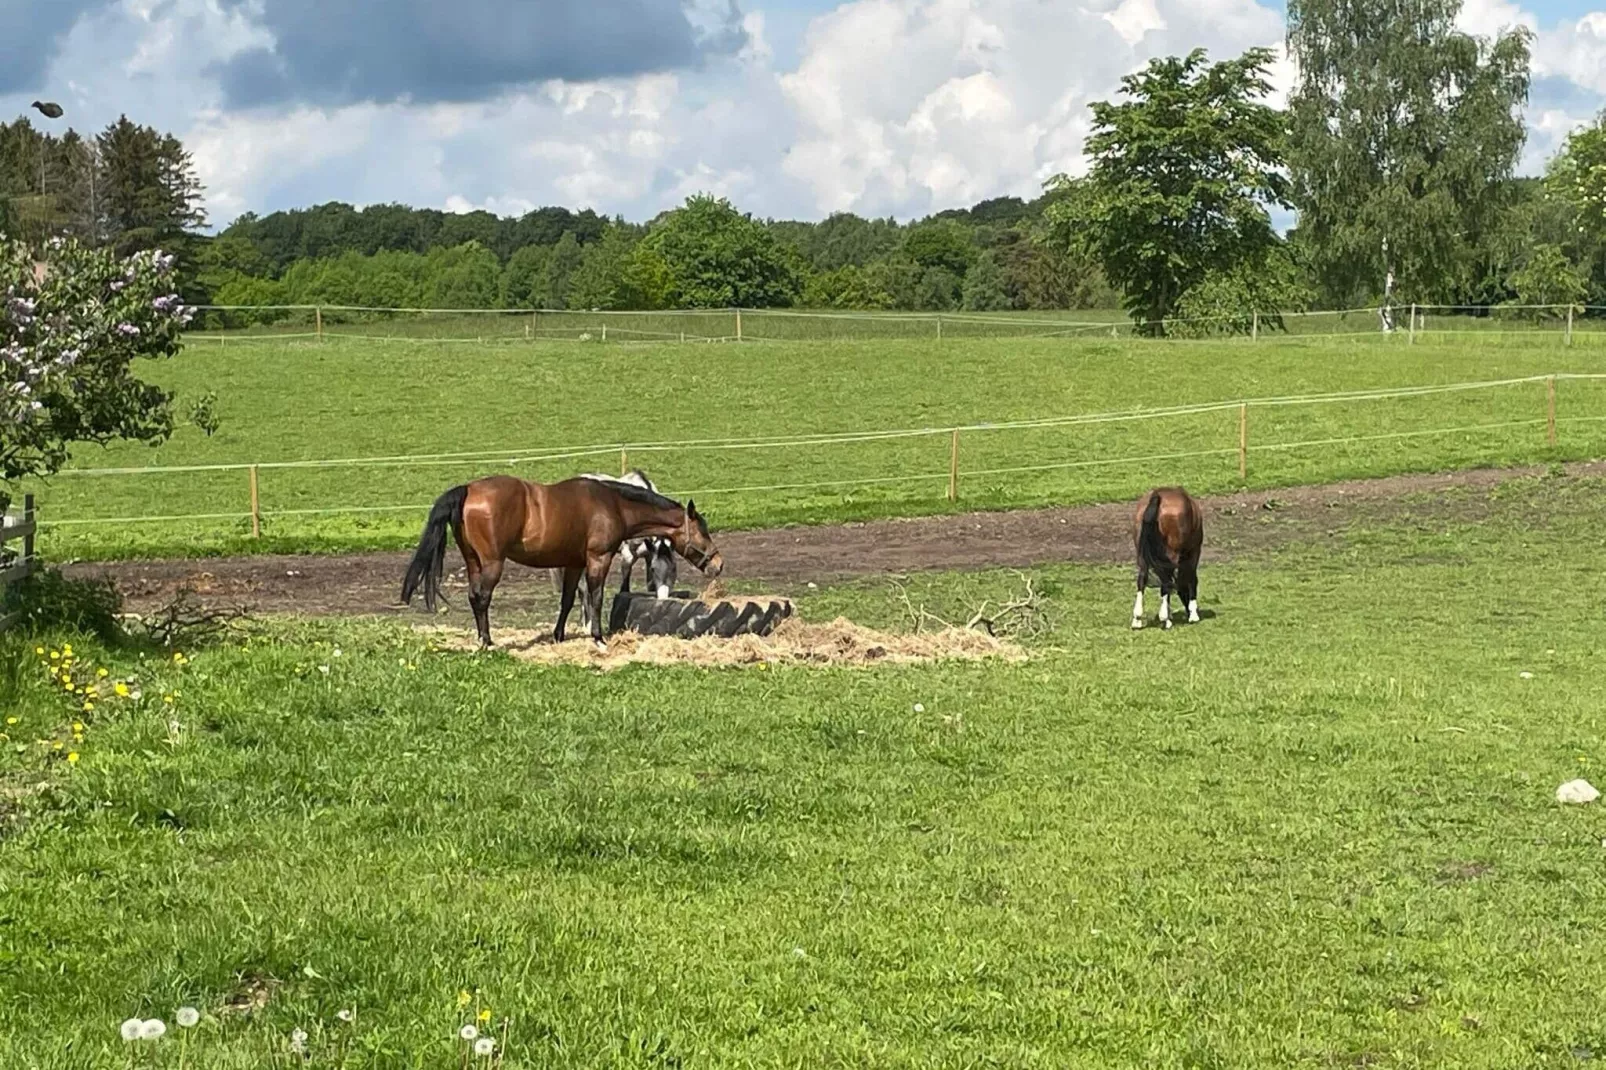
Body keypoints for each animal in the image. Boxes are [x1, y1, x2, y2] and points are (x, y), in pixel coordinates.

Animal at [404, 475, 725, 649]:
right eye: (702, 530)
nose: (718, 564)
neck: (612, 504)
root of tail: (469, 489)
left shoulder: (573, 563)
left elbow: (568, 600)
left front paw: (558, 636)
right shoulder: (598, 559)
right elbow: (595, 597)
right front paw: (598, 638)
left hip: (473, 562)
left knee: (474, 596)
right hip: (492, 563)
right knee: (481, 598)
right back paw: (487, 642)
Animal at [1130, 488, 1207, 629]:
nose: (1187, 610)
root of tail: (1157, 496)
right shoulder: (1194, 551)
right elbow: (1192, 579)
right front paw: (1193, 614)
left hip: (1142, 555)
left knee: (1142, 579)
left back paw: (1137, 619)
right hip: (1173, 553)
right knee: (1166, 582)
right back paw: (1165, 619)